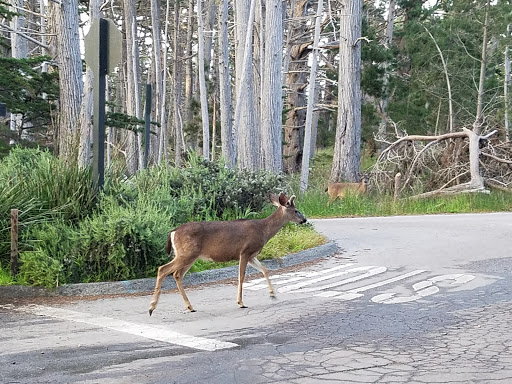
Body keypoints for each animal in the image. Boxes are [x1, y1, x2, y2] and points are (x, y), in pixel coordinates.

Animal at [148, 192, 308, 316]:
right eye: (296, 210)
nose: (305, 219)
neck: (263, 230)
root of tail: (173, 231)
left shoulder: (251, 255)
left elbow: (265, 269)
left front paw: (272, 294)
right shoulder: (245, 251)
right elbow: (241, 276)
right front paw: (240, 302)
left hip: (188, 255)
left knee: (177, 274)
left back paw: (190, 307)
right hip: (187, 253)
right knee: (163, 269)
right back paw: (151, 307)